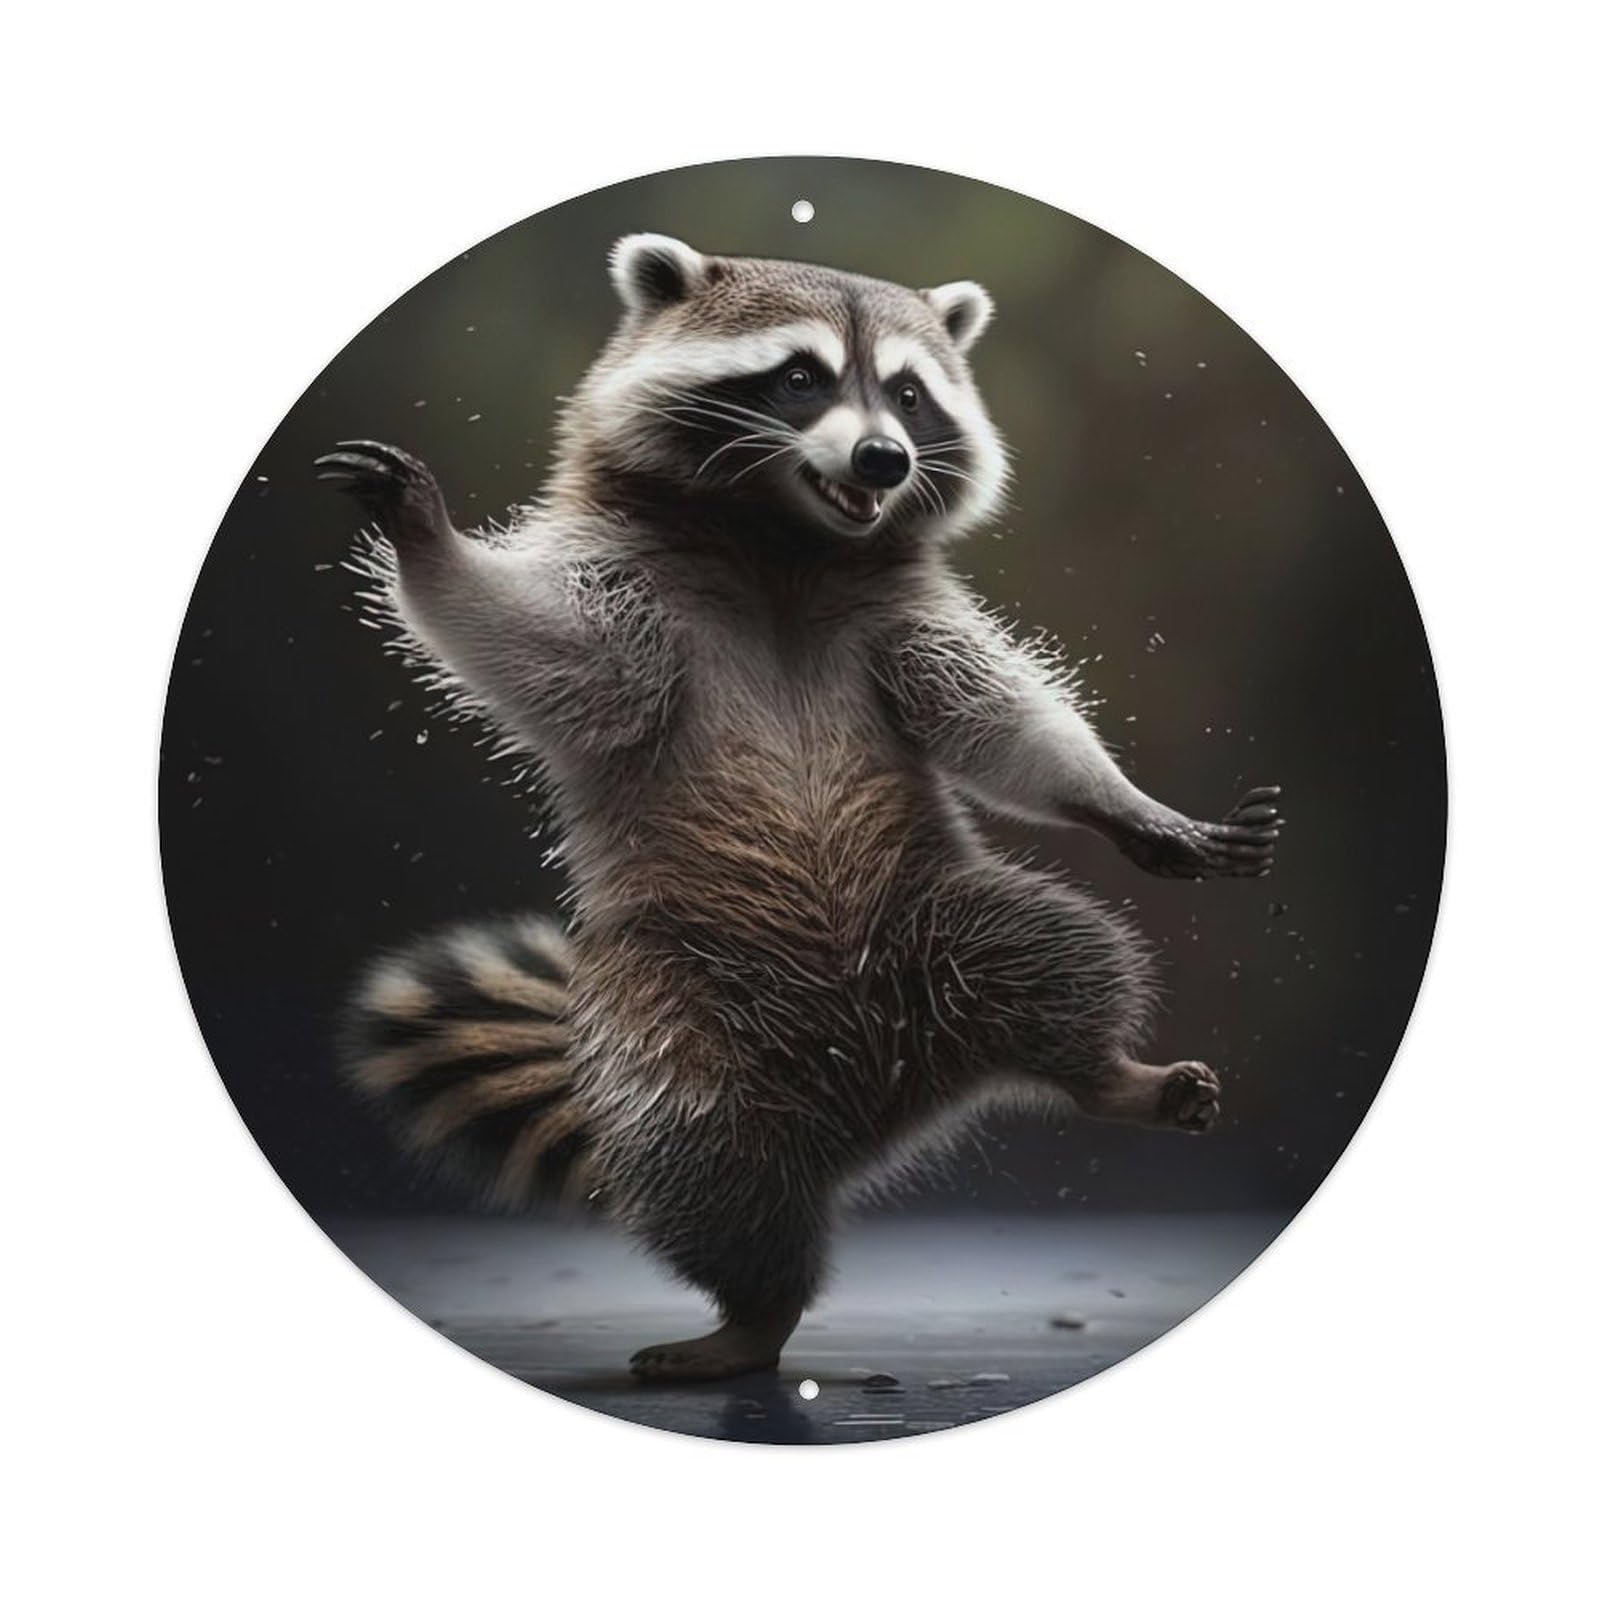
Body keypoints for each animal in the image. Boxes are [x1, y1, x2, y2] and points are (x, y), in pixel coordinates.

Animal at [318, 234, 1281, 1382]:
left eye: (908, 395)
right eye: (799, 378)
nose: (883, 462)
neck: (785, 546)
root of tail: (875, 1102)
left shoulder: (902, 623)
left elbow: (997, 715)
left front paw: (1120, 801)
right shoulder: (632, 599)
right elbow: (545, 642)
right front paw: (432, 547)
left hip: (938, 914)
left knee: (1057, 952)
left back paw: (1105, 1074)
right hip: (674, 1002)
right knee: (706, 1156)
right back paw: (756, 1312)